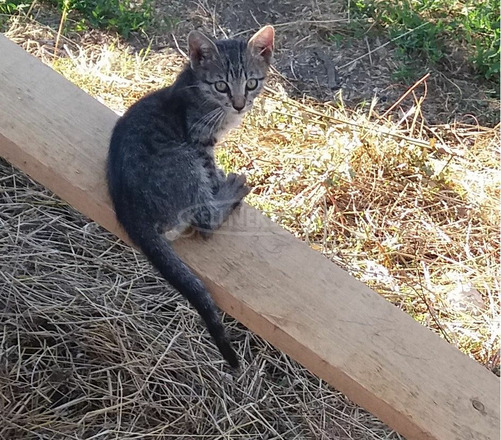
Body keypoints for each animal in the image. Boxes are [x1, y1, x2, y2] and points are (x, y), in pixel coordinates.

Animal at [107, 24, 276, 368]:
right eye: (222, 85)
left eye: (251, 83)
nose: (240, 104)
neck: (198, 89)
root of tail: (130, 212)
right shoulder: (200, 143)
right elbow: (211, 170)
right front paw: (220, 181)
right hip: (184, 162)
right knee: (205, 222)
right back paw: (230, 193)